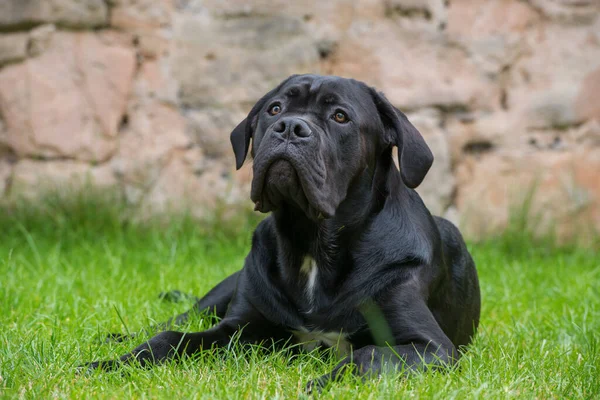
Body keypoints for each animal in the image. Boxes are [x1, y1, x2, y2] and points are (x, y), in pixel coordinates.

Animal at [86, 73, 480, 390]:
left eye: (340, 116)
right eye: (274, 109)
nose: (291, 127)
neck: (312, 242)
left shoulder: (431, 347)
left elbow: (367, 356)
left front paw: (320, 383)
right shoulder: (238, 327)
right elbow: (170, 339)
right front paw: (111, 364)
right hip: (222, 291)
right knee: (178, 317)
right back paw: (114, 338)